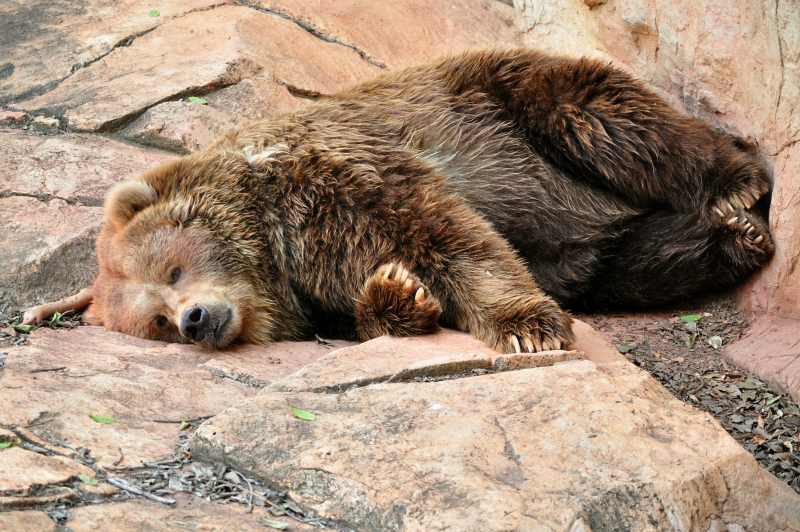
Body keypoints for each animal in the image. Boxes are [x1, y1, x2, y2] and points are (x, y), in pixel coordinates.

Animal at [25, 47, 776, 352]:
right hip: (592, 253)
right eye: (154, 320)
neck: (272, 256)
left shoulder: (332, 170)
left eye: (173, 269)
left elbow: (443, 229)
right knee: (630, 259)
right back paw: (730, 240)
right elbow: (370, 300)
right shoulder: (314, 294)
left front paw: (526, 326)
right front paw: (399, 294)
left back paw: (738, 188)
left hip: (504, 99)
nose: (197, 320)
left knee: (611, 120)